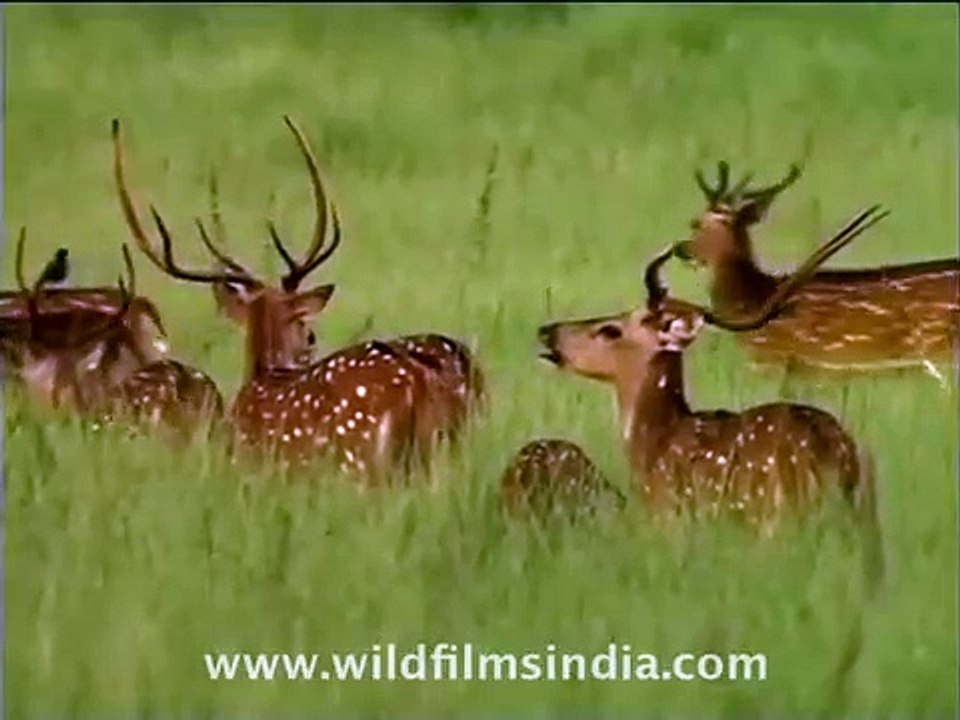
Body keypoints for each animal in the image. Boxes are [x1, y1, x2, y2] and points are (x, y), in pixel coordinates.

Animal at [537, 206, 887, 585]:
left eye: (610, 330)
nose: (548, 331)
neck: (654, 443)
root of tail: (832, 455)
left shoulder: (670, 519)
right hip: (862, 519)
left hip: (774, 519)